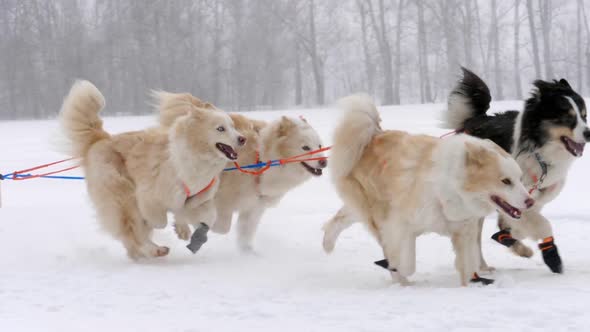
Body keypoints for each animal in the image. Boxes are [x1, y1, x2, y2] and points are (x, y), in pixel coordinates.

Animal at [59, 81, 245, 260]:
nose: (242, 139)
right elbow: (159, 221)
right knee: (133, 232)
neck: (195, 159)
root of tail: (100, 139)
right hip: (124, 197)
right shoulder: (149, 195)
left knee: (132, 237)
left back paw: (148, 253)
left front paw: (183, 229)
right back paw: (153, 250)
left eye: (233, 126)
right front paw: (173, 226)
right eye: (220, 128)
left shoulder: (199, 199)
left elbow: (201, 215)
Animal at [446, 68, 588, 274]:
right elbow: (541, 224)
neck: (540, 154)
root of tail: (474, 120)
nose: (589, 133)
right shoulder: (512, 194)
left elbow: (517, 223)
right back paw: (481, 265)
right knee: (474, 234)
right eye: (568, 117)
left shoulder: (536, 197)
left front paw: (512, 238)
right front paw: (551, 256)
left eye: (584, 116)